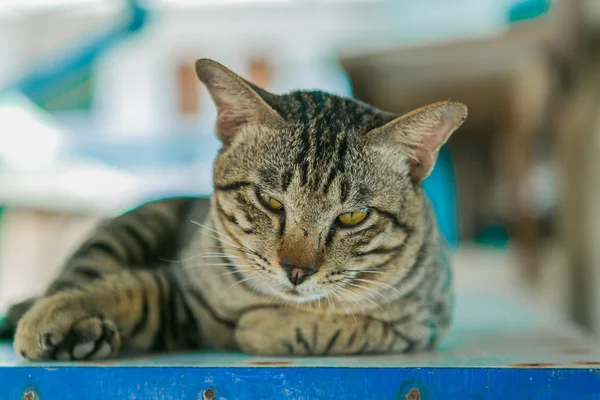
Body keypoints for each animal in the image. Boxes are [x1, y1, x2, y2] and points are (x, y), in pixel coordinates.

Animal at [2, 58, 466, 360]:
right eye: (270, 200)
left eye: (352, 216)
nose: (297, 271)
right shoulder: (185, 291)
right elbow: (128, 289)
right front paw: (58, 313)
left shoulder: (420, 325)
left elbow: (340, 328)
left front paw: (262, 325)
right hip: (126, 229)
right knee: (73, 276)